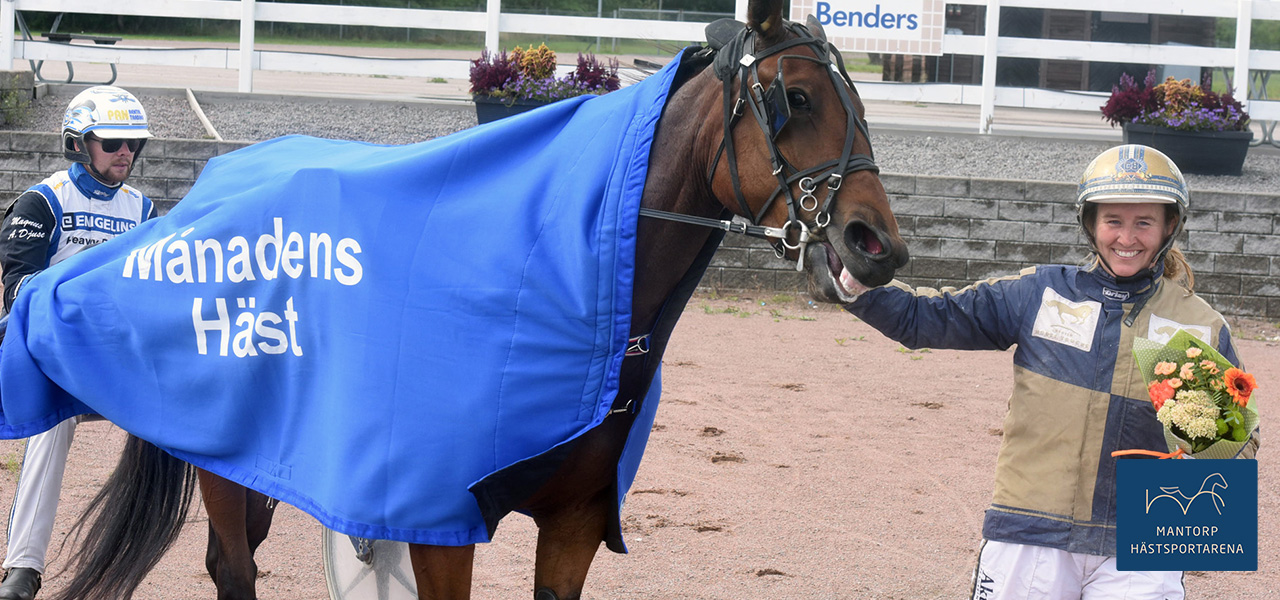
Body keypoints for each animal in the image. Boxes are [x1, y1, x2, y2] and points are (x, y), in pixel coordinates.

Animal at [52, 1, 911, 598]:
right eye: (795, 97)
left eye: (859, 99)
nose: (878, 243)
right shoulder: (439, 523)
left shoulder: (574, 523)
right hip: (226, 460)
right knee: (233, 567)